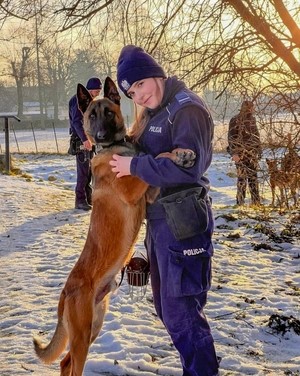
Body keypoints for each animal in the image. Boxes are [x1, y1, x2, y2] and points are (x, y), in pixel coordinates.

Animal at [33, 77, 197, 376]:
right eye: (91, 116)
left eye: (108, 112)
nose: (98, 136)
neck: (114, 148)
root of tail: (65, 291)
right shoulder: (135, 187)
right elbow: (154, 159)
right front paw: (178, 155)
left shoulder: (150, 193)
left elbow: (154, 158)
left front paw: (181, 153)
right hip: (82, 335)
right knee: (72, 364)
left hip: (93, 327)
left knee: (64, 361)